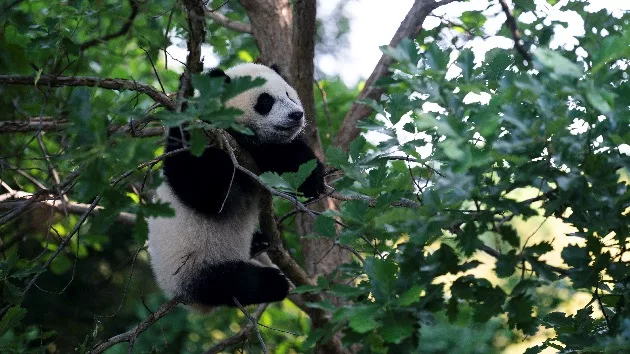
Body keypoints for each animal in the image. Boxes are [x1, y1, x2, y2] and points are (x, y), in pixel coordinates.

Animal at [148, 63, 326, 306]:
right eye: (265, 101)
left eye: (289, 95)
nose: (296, 114)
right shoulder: (206, 137)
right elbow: (202, 193)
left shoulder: (265, 149)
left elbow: (288, 154)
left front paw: (313, 182)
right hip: (192, 264)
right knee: (232, 283)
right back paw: (272, 283)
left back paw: (259, 242)